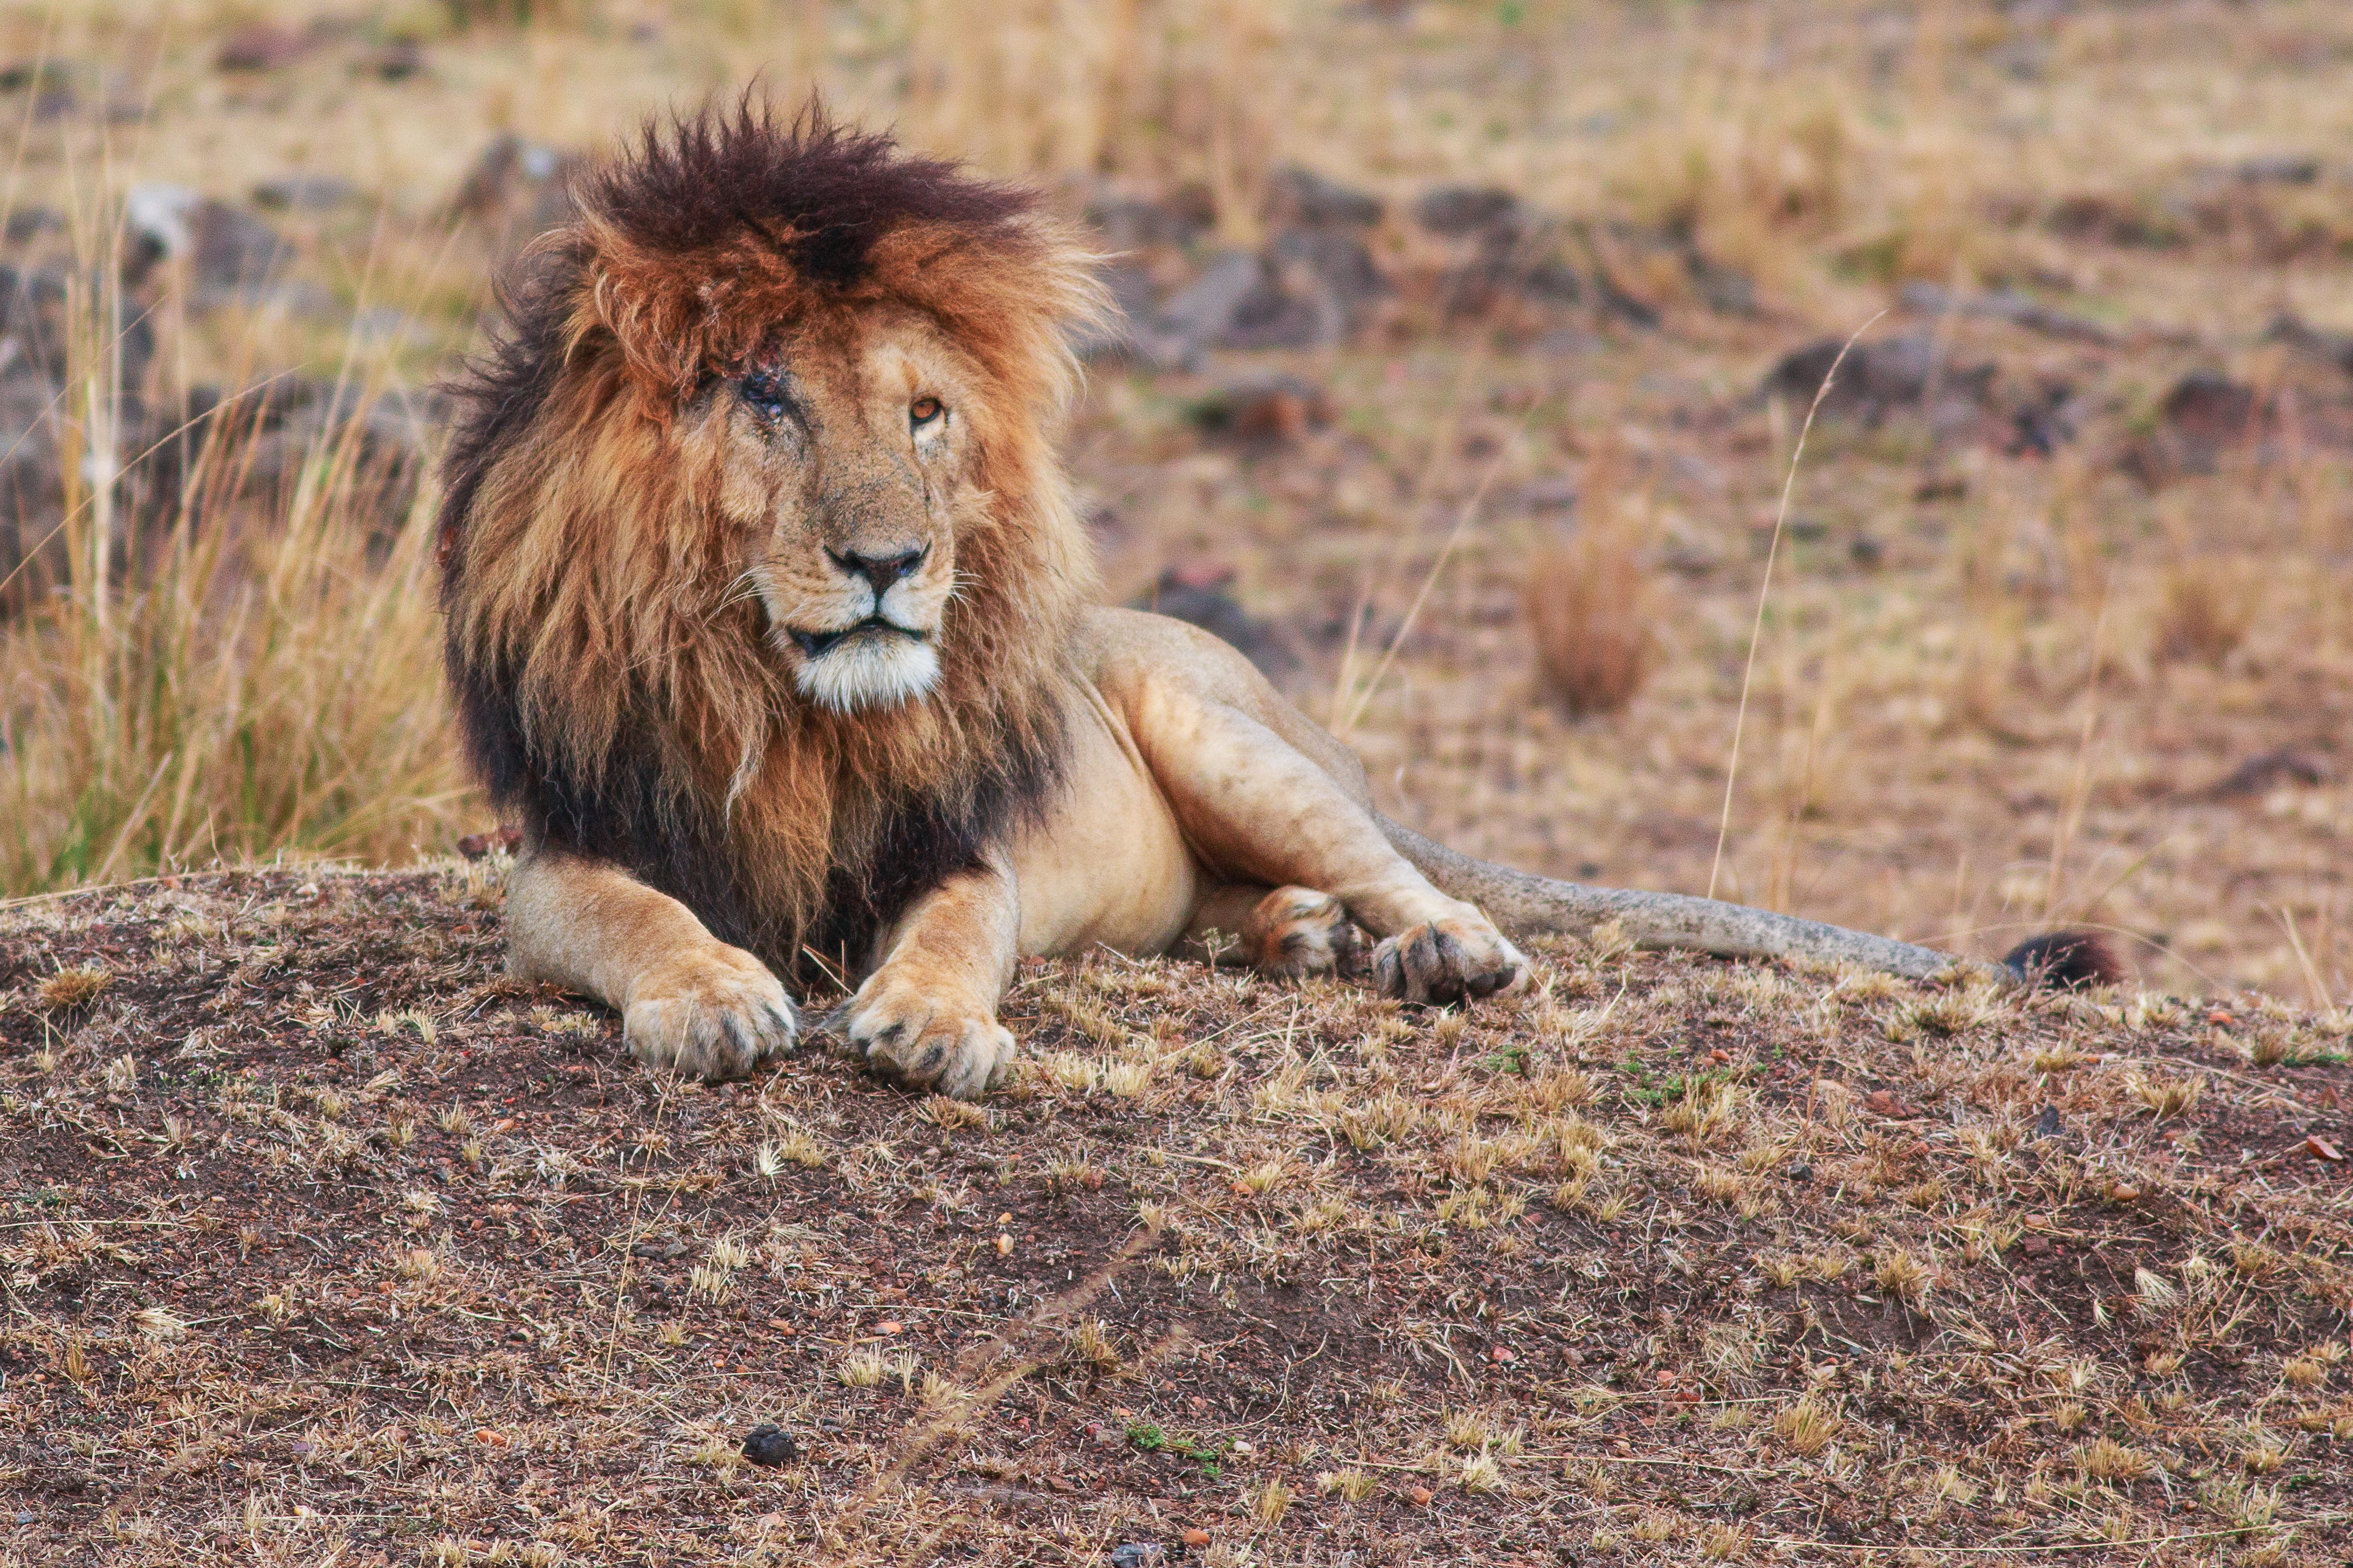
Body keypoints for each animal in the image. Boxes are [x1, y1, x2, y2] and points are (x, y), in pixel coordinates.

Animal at [438, 104, 2117, 1100]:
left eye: (922, 414)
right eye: (770, 399)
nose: (889, 564)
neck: (789, 712)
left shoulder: (961, 842)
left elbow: (957, 928)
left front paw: (929, 1021)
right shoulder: (571, 844)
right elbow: (632, 915)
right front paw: (713, 993)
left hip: (1217, 728)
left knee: (1411, 874)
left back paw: (1429, 949)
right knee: (1251, 902)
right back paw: (1296, 937)